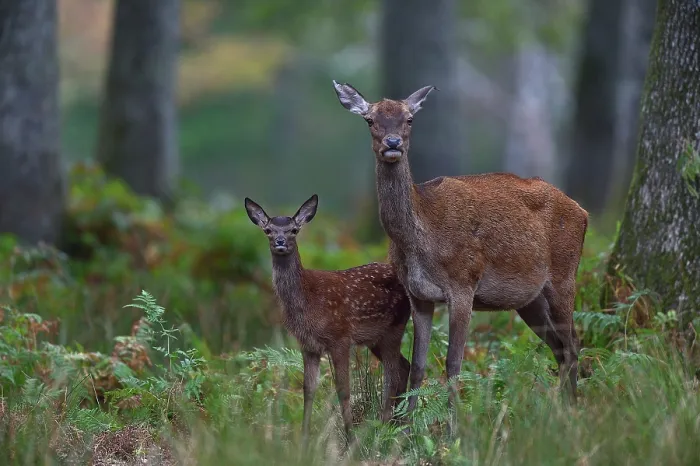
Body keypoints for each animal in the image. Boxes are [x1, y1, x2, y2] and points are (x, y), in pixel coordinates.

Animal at [244, 194, 412, 447]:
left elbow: (343, 389)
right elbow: (308, 389)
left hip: (395, 327)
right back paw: (396, 424)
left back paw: (384, 428)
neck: (307, 302)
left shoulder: (340, 337)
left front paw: (350, 438)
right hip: (376, 338)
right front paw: (304, 439)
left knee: (392, 374)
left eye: (294, 230)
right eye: (268, 230)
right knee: (404, 366)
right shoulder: (308, 345)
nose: (280, 242)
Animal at [332, 80, 589, 433]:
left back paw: (572, 415)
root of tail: (583, 211)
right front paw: (407, 430)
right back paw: (560, 413)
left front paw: (453, 430)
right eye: (370, 120)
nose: (393, 143)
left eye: (409, 119)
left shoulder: (463, 284)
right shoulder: (418, 296)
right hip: (529, 300)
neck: (421, 238)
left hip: (564, 276)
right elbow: (419, 365)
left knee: (573, 345)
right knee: (560, 348)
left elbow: (454, 363)